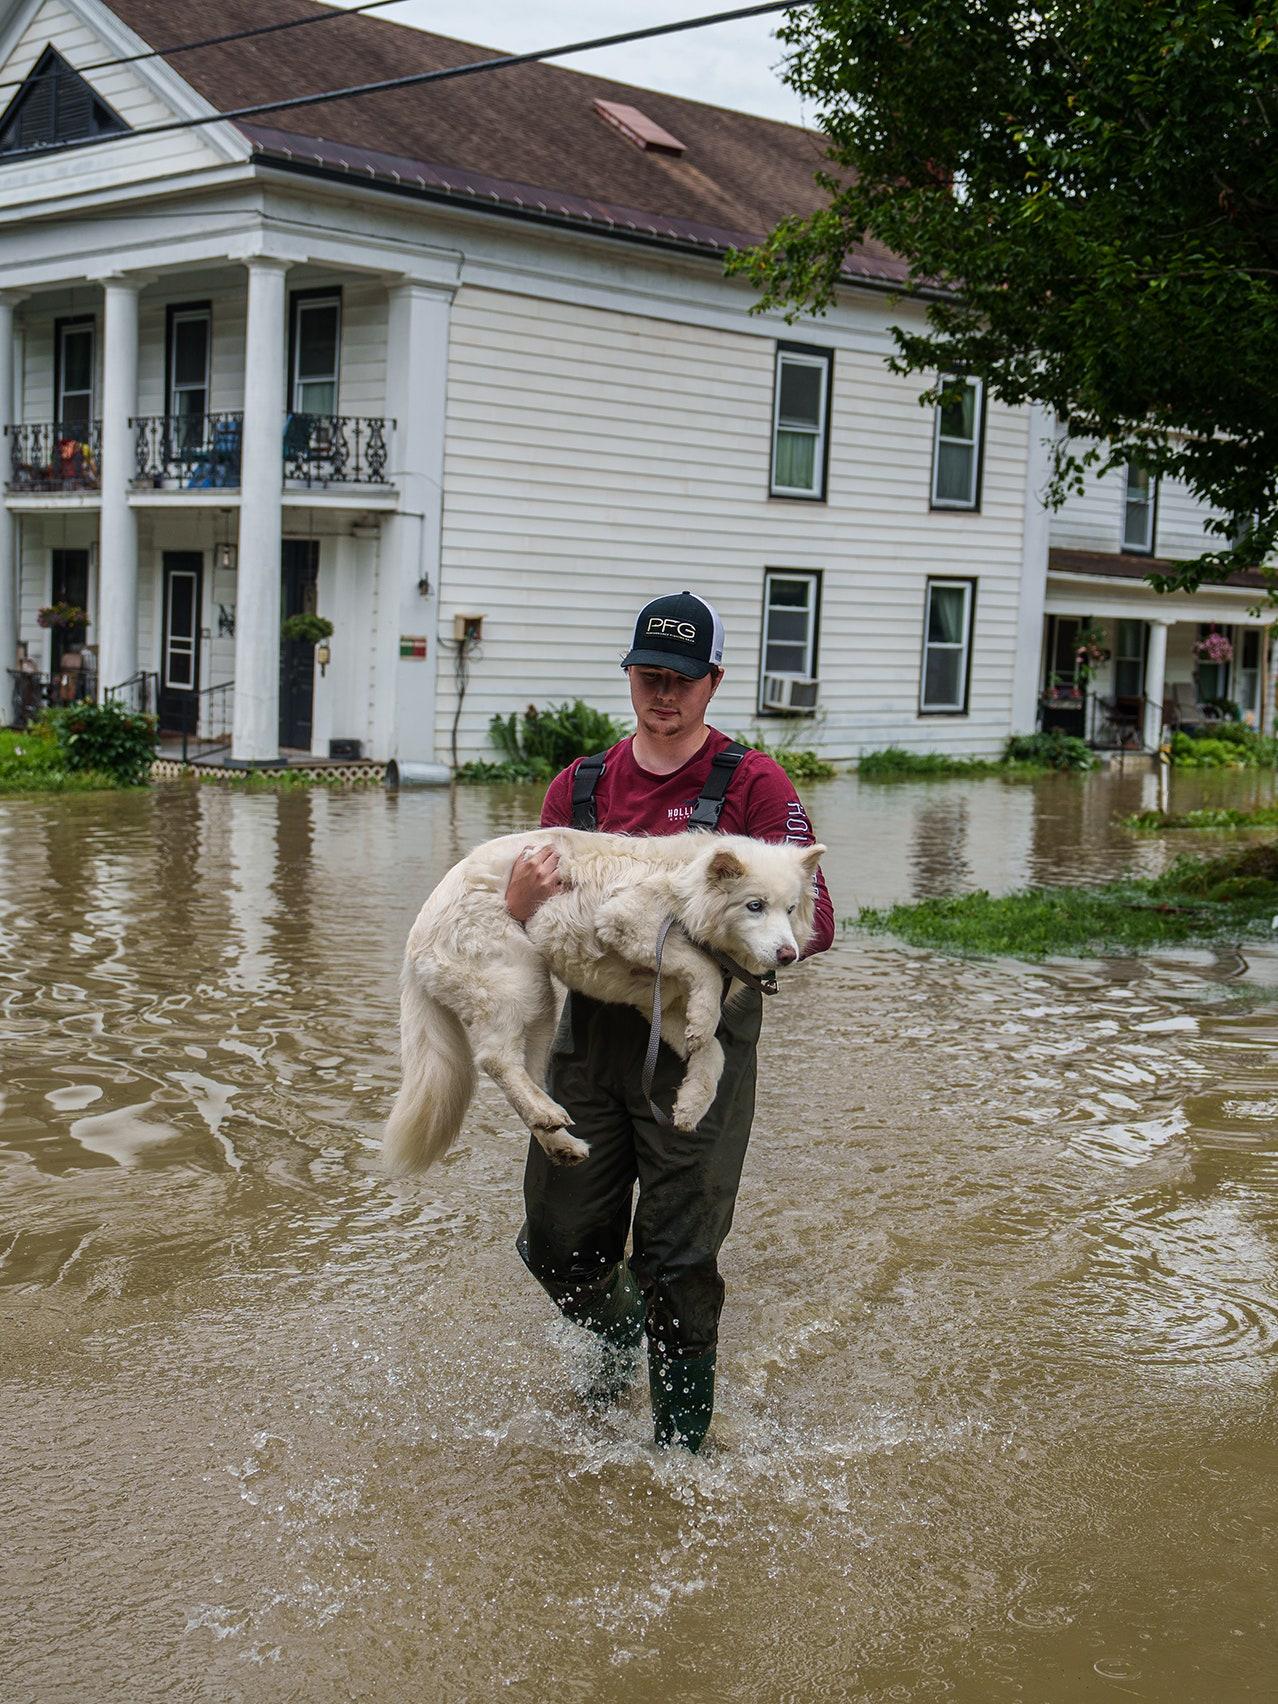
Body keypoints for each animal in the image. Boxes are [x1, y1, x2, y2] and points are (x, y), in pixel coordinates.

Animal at [379, 828, 824, 1179]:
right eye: (754, 906)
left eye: (789, 909)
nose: (787, 955)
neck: (684, 888)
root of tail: (416, 936)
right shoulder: (627, 922)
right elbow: (704, 971)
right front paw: (705, 1015)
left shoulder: (659, 1006)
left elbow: (712, 1052)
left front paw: (690, 1105)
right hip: (517, 985)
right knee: (494, 1059)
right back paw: (547, 1115)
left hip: (540, 1010)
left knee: (523, 1072)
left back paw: (560, 1139)